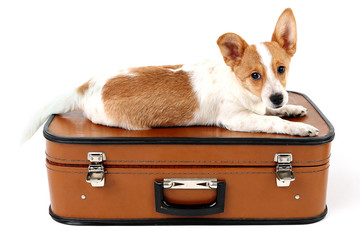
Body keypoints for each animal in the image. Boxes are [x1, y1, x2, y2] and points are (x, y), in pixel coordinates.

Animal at [22, 7, 320, 142]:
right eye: (255, 76)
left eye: (281, 69)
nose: (279, 98)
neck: (241, 88)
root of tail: (86, 86)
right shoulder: (237, 119)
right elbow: (271, 121)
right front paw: (297, 126)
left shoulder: (261, 104)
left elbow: (271, 112)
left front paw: (291, 108)